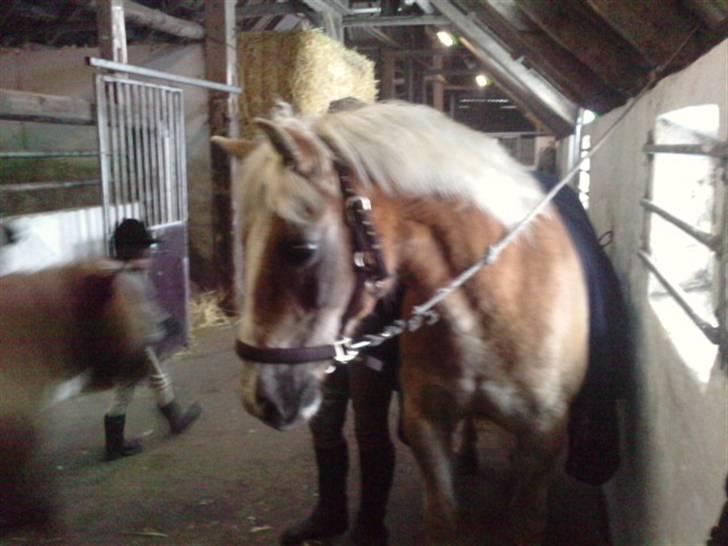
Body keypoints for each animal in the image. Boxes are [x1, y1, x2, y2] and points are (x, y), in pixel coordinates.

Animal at [214, 100, 589, 545]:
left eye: (300, 249)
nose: (259, 398)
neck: (497, 307)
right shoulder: (427, 425)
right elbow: (442, 519)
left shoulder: (545, 436)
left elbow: (526, 520)